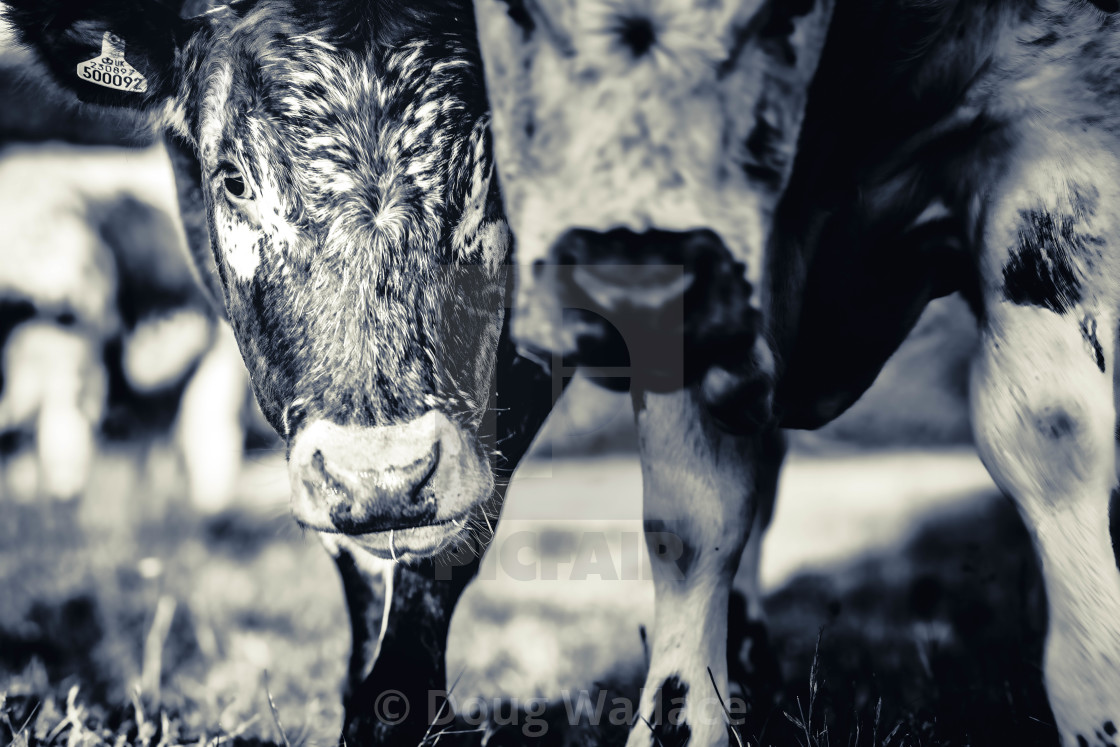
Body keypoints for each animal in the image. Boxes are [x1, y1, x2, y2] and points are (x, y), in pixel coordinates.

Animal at [477, 1, 1120, 747]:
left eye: (779, 16)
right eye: (520, 15)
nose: (629, 271)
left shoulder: (1052, 125)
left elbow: (1051, 431)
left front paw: (1098, 696)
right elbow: (693, 516)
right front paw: (683, 713)